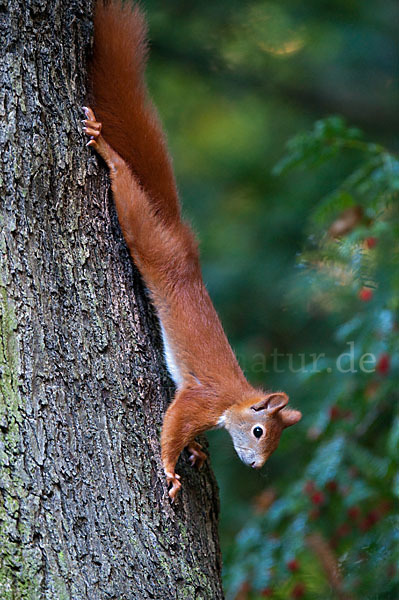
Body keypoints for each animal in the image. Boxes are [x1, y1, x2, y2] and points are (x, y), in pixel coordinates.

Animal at [85, 0, 304, 500]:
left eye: (277, 443)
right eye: (260, 432)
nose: (256, 466)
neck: (234, 400)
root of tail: (181, 240)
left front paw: (197, 453)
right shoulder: (200, 399)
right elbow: (173, 425)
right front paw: (170, 468)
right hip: (148, 238)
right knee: (130, 198)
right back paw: (107, 151)